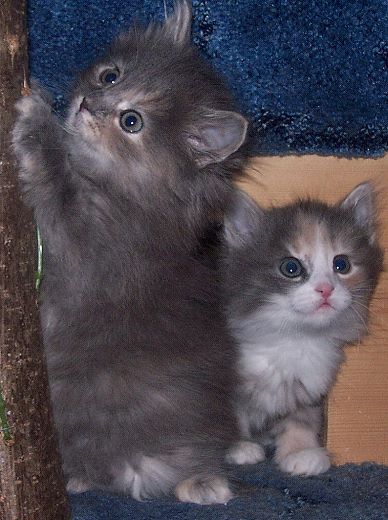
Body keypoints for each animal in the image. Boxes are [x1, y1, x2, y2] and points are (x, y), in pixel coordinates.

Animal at [13, 0, 249, 504]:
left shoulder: (88, 247)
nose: (88, 104)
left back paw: (199, 481)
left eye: (131, 121)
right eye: (110, 76)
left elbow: (56, 185)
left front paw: (37, 122)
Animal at [223, 183, 384, 476]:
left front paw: (301, 451)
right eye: (291, 267)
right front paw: (237, 446)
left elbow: (302, 418)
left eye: (341, 264)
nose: (326, 289)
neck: (292, 338)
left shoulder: (308, 387)